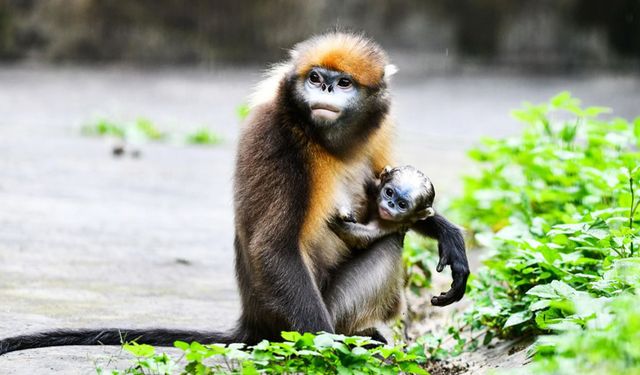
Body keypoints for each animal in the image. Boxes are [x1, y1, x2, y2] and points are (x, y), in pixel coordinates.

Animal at [0, 32, 468, 356]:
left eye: (344, 83)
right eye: (316, 78)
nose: (324, 90)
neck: (330, 142)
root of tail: (254, 323)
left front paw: (446, 233)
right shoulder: (279, 139)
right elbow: (274, 247)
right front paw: (328, 350)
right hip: (310, 314)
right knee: (389, 244)